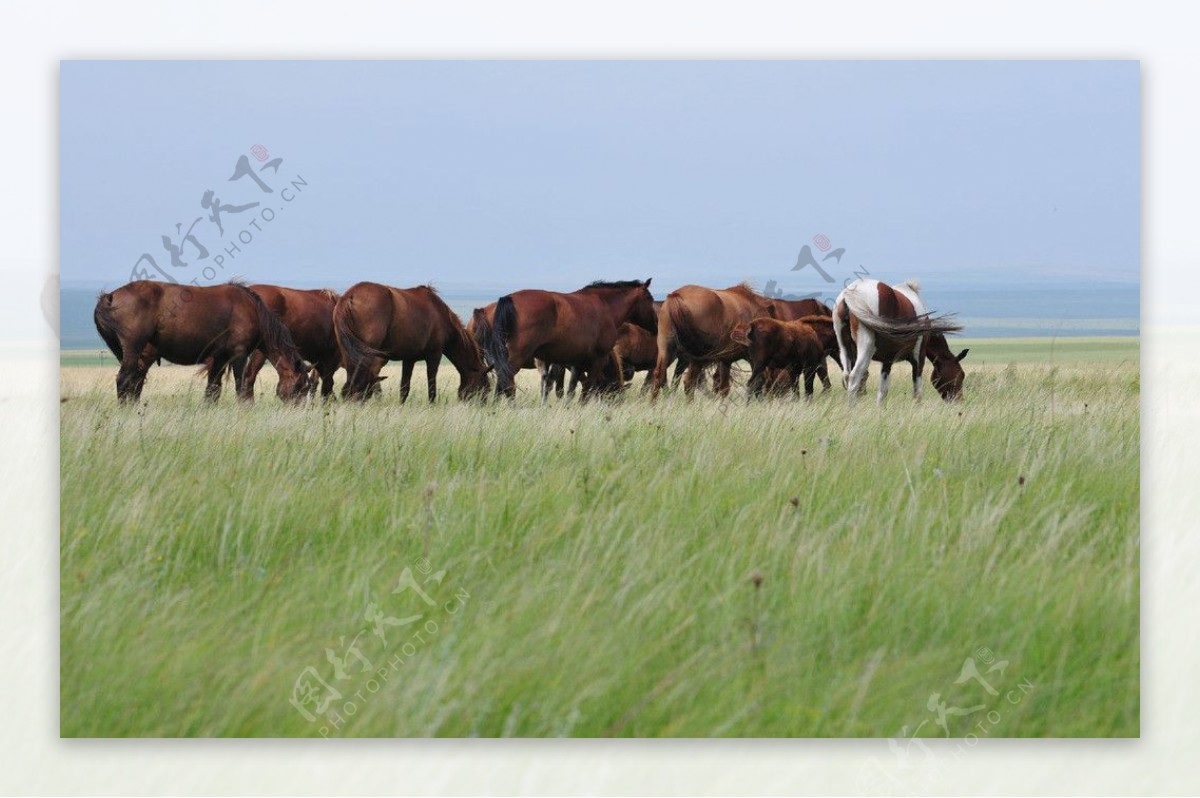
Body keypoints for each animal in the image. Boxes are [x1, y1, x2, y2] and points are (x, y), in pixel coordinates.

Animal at [93, 282, 312, 405]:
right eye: (300, 386)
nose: (298, 410)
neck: (252, 310)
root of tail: (110, 297)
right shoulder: (238, 354)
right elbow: (240, 388)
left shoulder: (220, 358)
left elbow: (212, 391)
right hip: (133, 349)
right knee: (124, 380)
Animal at [333, 282, 492, 405]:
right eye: (485, 386)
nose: (483, 406)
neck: (440, 315)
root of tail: (349, 296)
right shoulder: (434, 355)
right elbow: (431, 385)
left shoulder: (409, 359)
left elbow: (404, 387)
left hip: (350, 355)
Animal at [470, 279, 657, 405]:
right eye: (649, 298)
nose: (656, 324)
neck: (605, 307)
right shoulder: (597, 359)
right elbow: (588, 387)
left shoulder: (576, 362)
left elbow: (571, 388)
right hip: (515, 356)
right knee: (506, 380)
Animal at [835, 279, 964, 405]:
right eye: (961, 375)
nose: (959, 401)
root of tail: (850, 293)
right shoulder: (919, 358)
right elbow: (917, 393)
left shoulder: (887, 361)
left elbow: (882, 392)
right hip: (866, 349)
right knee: (854, 378)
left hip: (845, 349)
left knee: (847, 376)